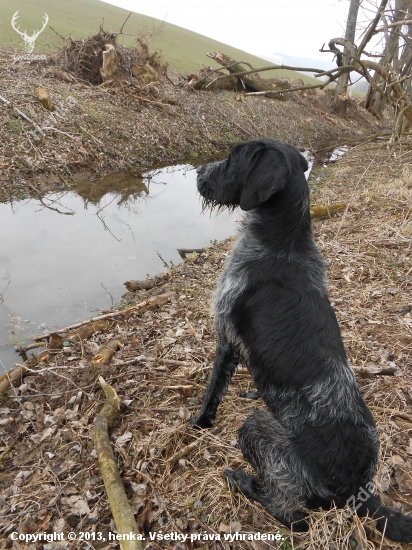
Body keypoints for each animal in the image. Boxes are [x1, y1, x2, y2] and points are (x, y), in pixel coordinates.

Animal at [192, 138, 412, 544]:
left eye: (233, 158)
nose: (198, 172)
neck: (283, 242)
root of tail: (360, 490)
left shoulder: (226, 336)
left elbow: (213, 390)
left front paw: (197, 424)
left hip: (257, 429)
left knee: (294, 516)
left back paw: (242, 480)